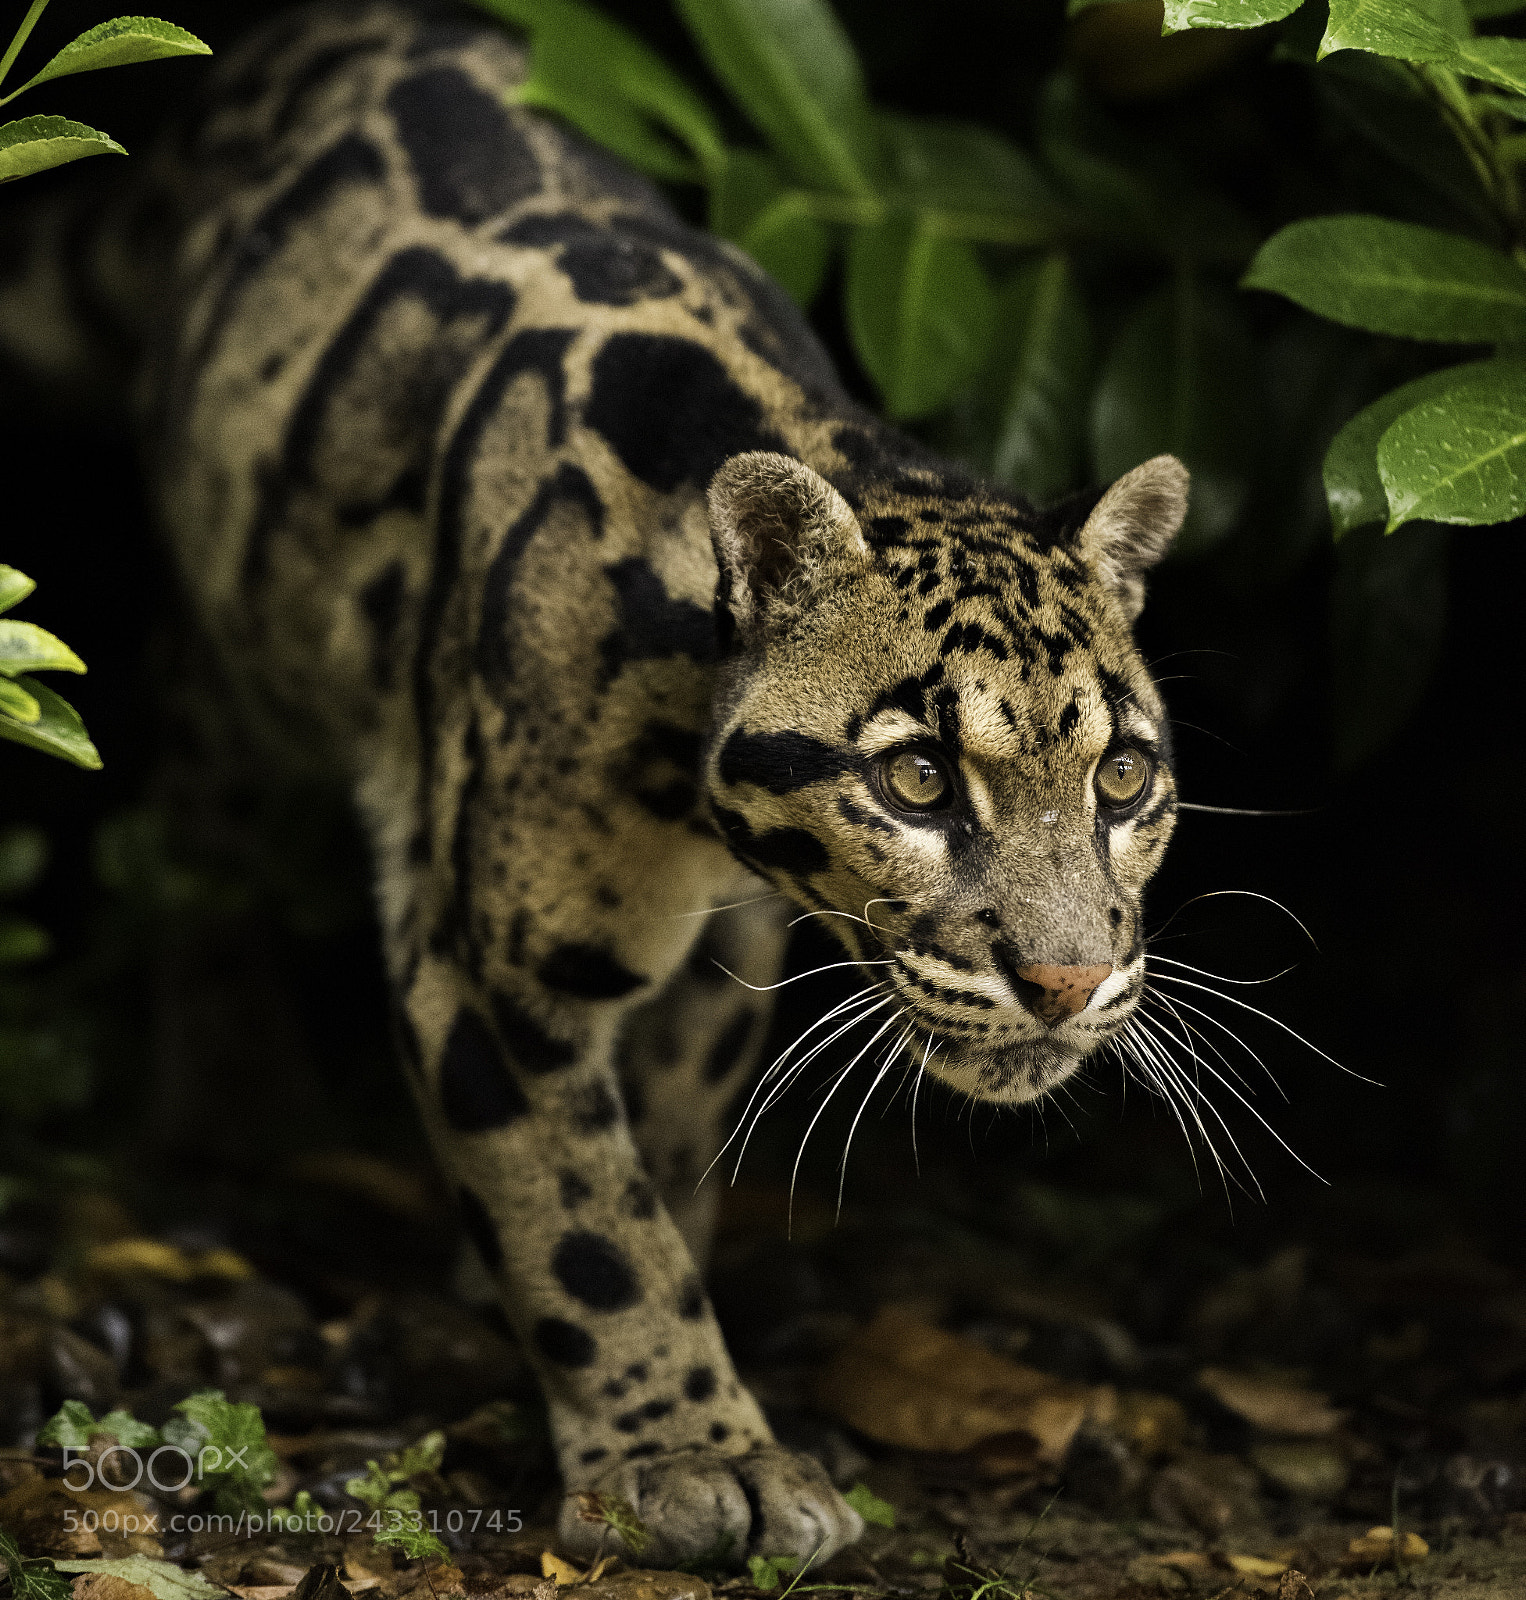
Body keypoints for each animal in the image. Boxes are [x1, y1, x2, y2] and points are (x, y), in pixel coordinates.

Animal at [0, 0, 1189, 1569]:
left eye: (1119, 775)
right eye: (920, 780)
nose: (1065, 983)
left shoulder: (727, 941)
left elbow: (656, 1148)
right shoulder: (489, 952)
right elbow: (584, 1216)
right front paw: (690, 1454)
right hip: (246, 648)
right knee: (196, 808)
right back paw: (233, 1088)